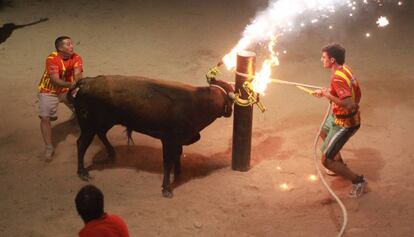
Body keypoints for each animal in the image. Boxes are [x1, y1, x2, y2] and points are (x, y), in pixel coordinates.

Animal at [69, 75, 234, 197]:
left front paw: (178, 173)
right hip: (88, 125)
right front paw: (167, 188)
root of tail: (86, 81)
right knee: (81, 143)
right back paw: (83, 172)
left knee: (101, 133)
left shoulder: (179, 140)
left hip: (105, 121)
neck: (197, 102)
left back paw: (111, 153)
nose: (230, 112)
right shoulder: (169, 140)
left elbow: (177, 155)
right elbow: (168, 161)